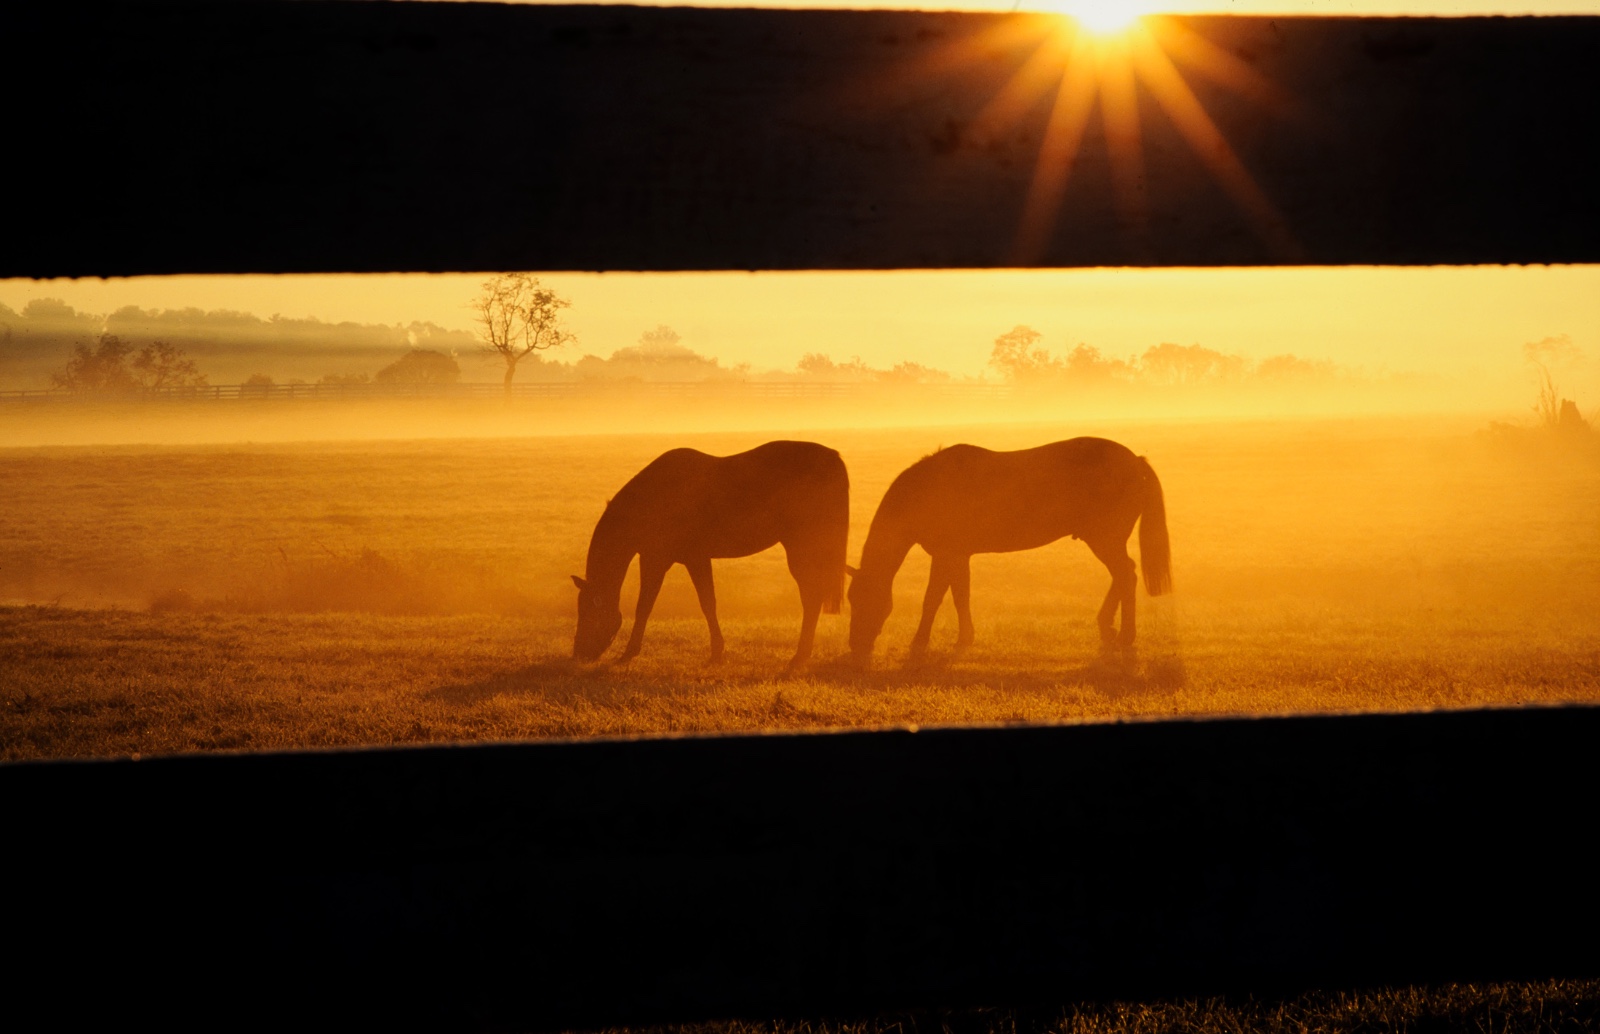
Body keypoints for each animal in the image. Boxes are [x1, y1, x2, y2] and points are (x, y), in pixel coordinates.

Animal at [572, 440, 849, 668]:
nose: (578, 654)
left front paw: (629, 652)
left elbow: (648, 606)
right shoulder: (692, 559)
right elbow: (707, 603)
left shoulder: (659, 560)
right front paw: (717, 651)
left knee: (811, 597)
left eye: (589, 614)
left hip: (801, 548)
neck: (654, 498)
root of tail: (832, 457)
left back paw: (799, 656)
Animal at [846, 437, 1170, 665]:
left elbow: (933, 599)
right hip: (1106, 541)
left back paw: (1125, 636)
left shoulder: (945, 555)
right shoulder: (958, 555)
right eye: (850, 599)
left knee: (1126, 575)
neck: (927, 489)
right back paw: (1107, 625)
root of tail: (1136, 461)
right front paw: (965, 638)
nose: (855, 646)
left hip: (1105, 540)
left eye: (864, 600)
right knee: (1123, 575)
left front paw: (919, 643)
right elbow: (960, 595)